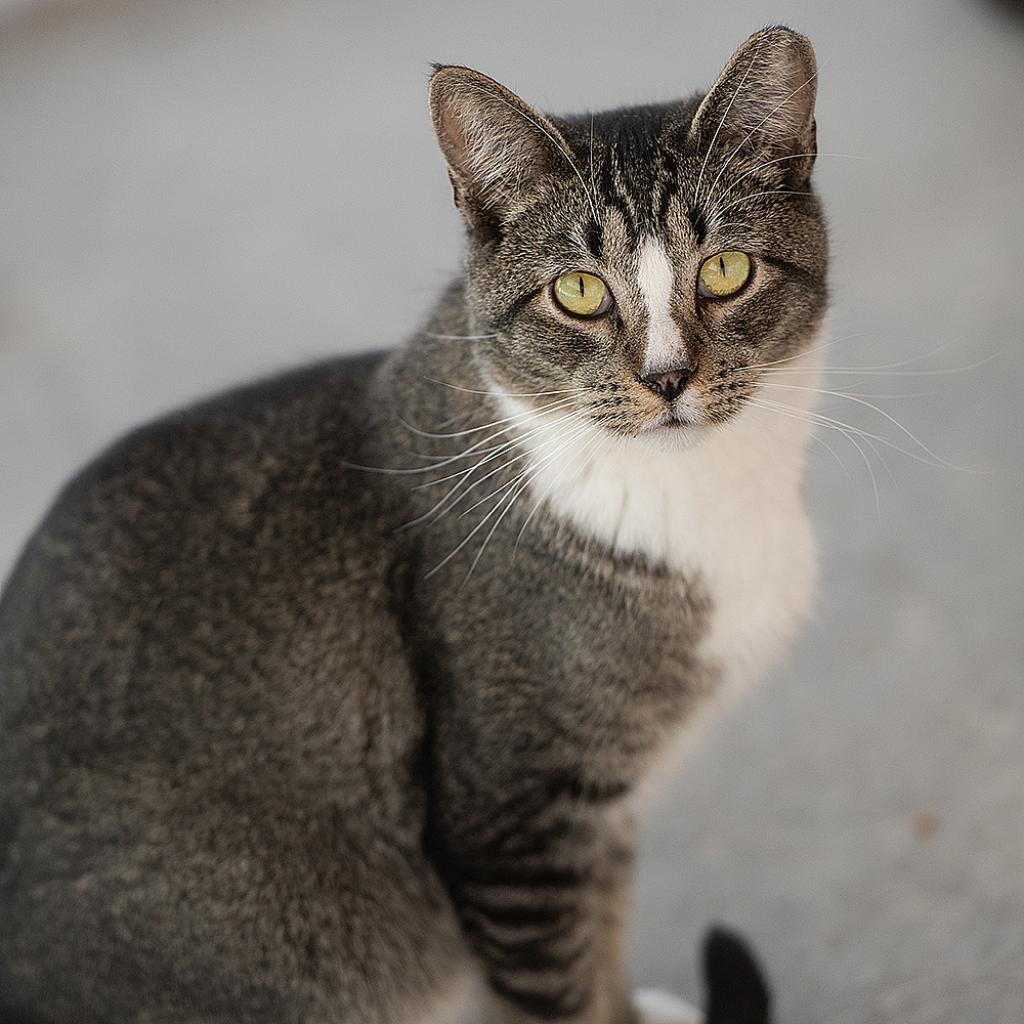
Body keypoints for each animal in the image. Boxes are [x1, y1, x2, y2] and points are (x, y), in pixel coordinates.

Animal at [0, 24, 823, 1024]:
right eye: (579, 292)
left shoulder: (603, 807)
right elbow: (566, 987)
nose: (666, 379)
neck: (701, 495)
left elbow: (608, 935)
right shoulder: (512, 817)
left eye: (726, 271)